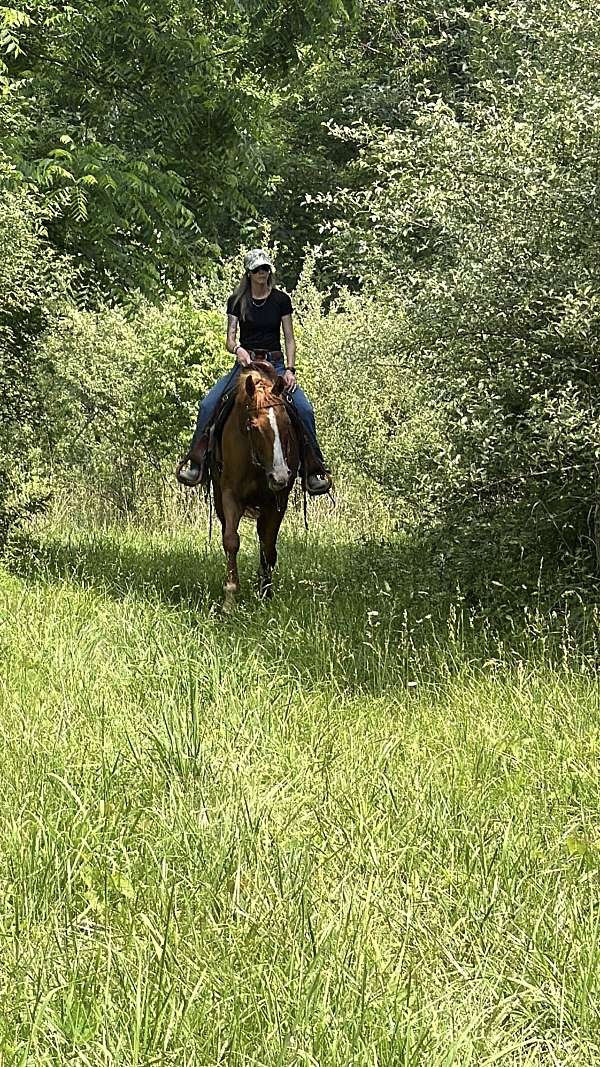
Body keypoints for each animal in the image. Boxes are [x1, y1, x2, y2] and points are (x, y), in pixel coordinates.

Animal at [209, 363, 300, 609]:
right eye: (253, 425)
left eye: (286, 423)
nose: (280, 476)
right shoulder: (230, 495)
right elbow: (231, 540)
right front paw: (230, 597)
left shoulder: (278, 501)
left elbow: (268, 546)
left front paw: (265, 592)